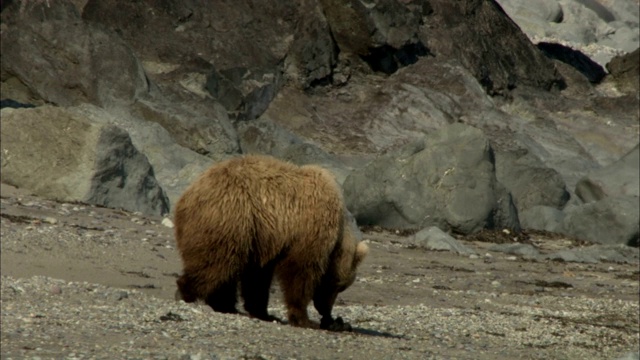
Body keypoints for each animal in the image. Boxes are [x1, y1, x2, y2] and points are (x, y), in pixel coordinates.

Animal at [175, 153, 368, 330]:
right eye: (338, 286)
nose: (325, 310)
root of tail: (187, 196)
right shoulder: (307, 229)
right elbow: (299, 272)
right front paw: (304, 319)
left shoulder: (265, 239)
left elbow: (257, 277)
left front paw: (263, 312)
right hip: (231, 218)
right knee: (215, 263)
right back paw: (186, 293)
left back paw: (225, 305)